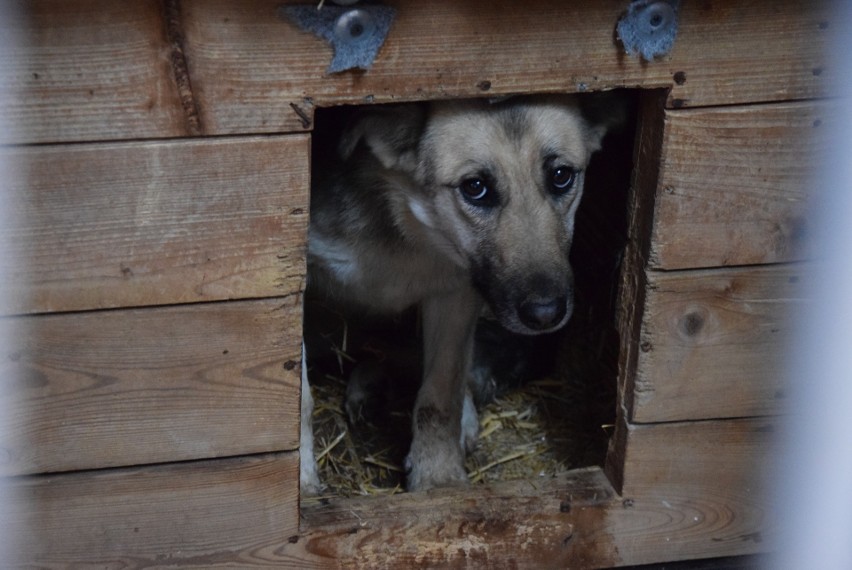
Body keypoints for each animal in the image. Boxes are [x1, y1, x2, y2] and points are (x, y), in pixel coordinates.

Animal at [300, 94, 620, 492]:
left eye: (561, 176)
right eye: (475, 187)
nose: (547, 314)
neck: (406, 231)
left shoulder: (457, 295)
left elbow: (440, 395)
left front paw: (437, 479)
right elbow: (300, 398)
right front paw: (302, 480)